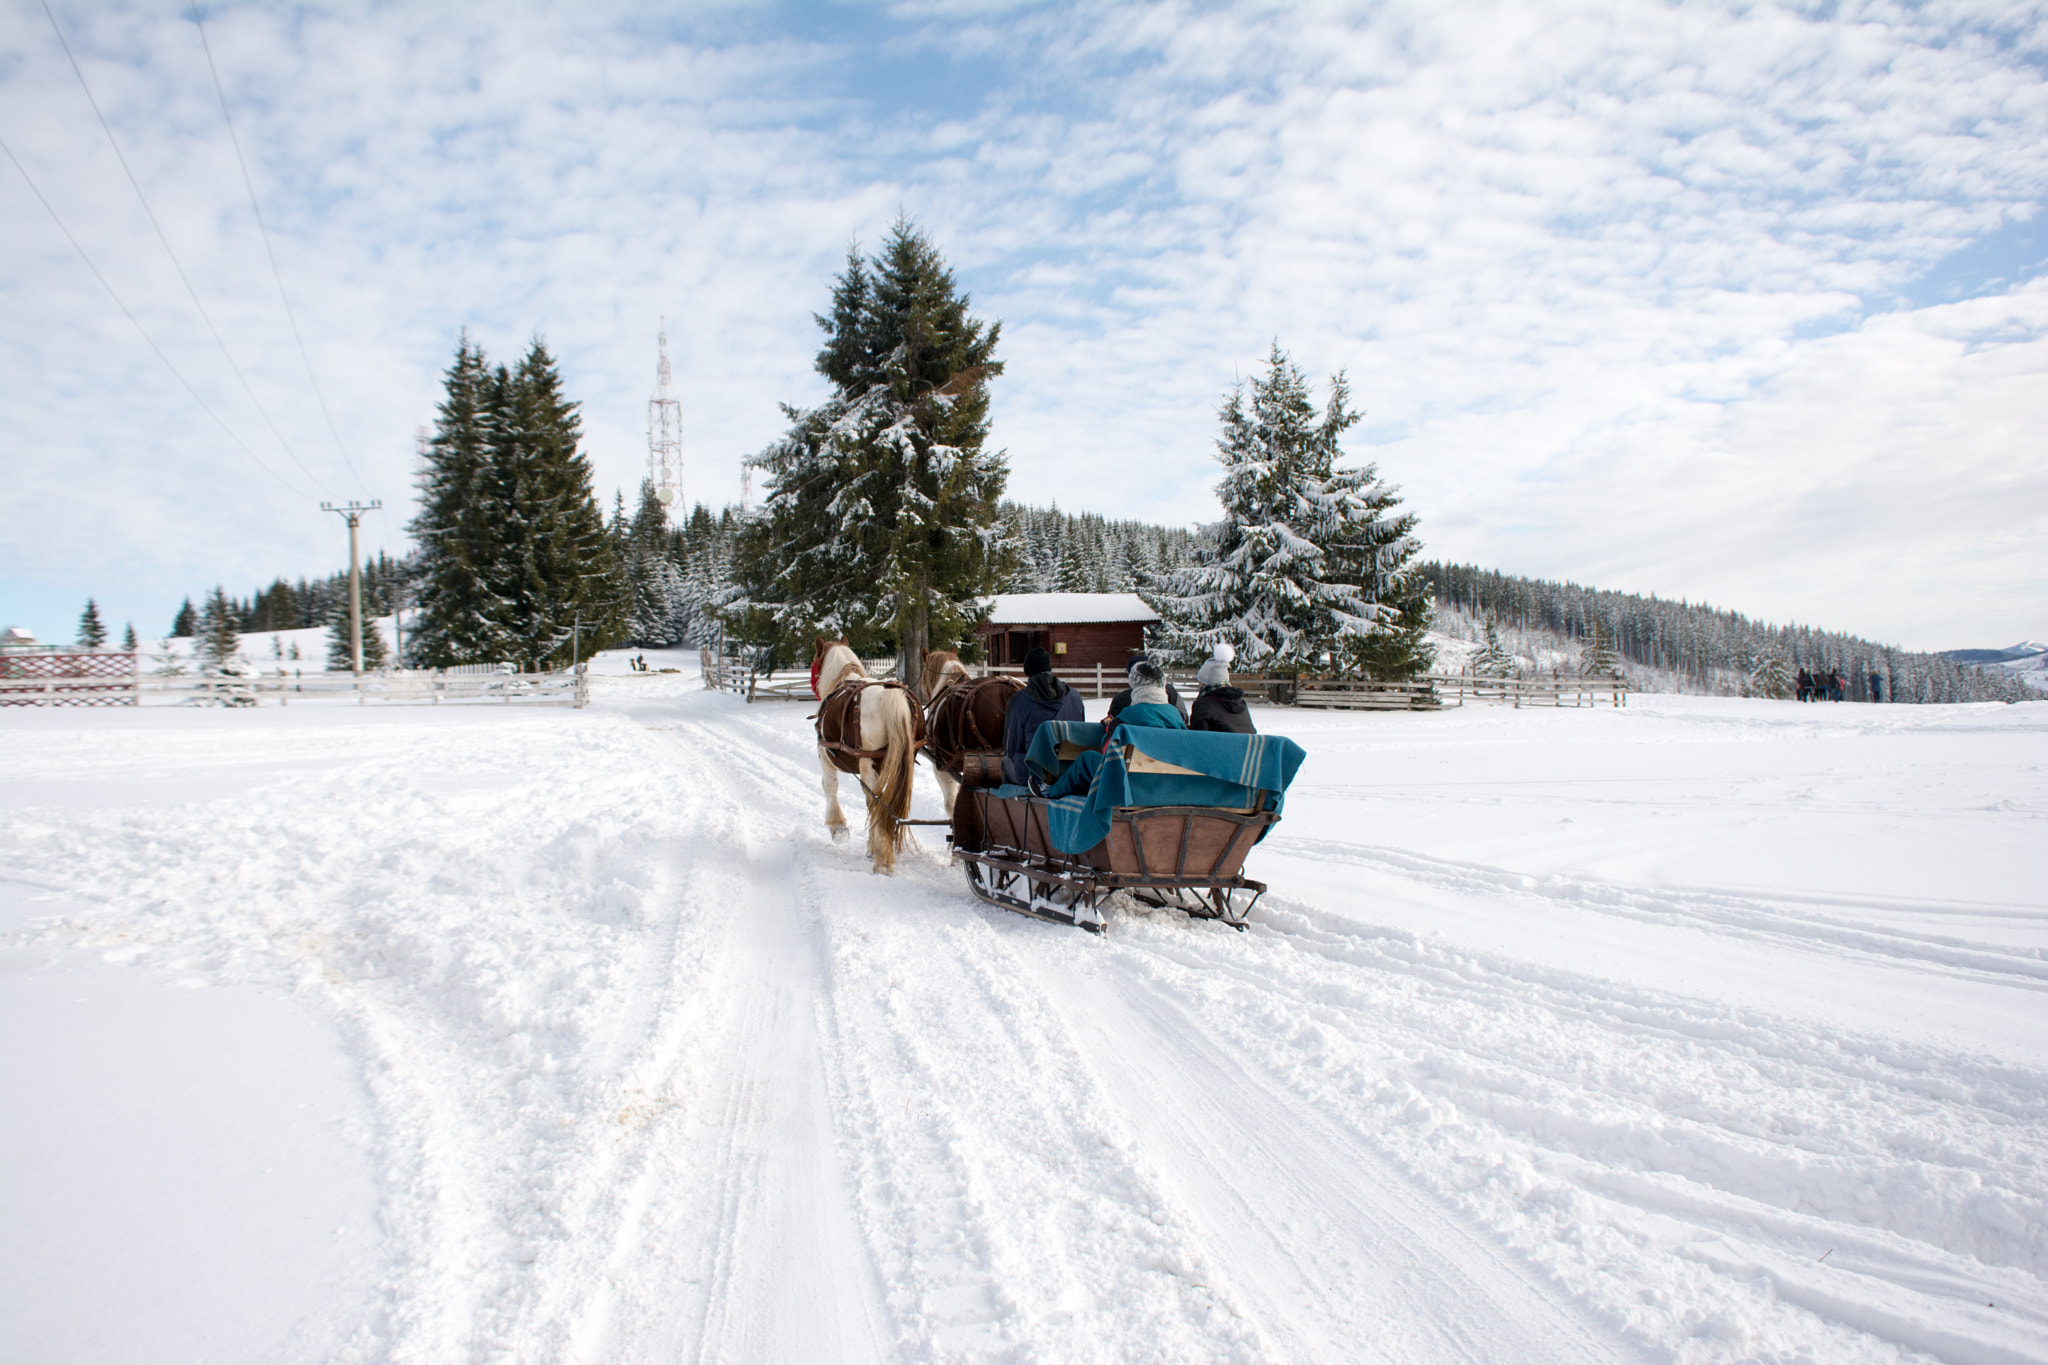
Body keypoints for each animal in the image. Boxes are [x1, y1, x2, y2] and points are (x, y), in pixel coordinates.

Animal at [806, 638, 921, 875]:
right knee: (885, 802)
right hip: (903, 761)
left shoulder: (825, 754)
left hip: (870, 764)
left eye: (814, 662)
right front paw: (871, 846)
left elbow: (830, 787)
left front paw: (838, 828)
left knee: (877, 802)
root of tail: (891, 694)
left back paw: (882, 860)